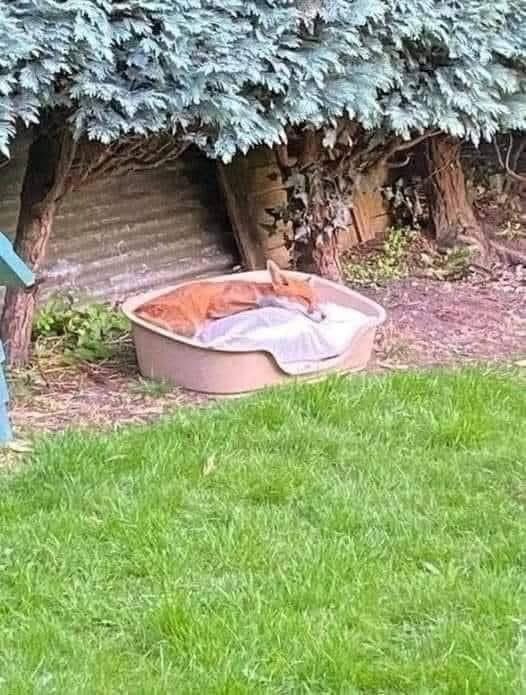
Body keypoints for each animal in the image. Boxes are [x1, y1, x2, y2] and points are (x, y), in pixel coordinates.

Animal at [135, 260, 324, 337]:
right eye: (305, 299)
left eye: (316, 300)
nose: (324, 316)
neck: (257, 290)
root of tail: (136, 311)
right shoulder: (219, 303)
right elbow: (257, 305)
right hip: (189, 327)